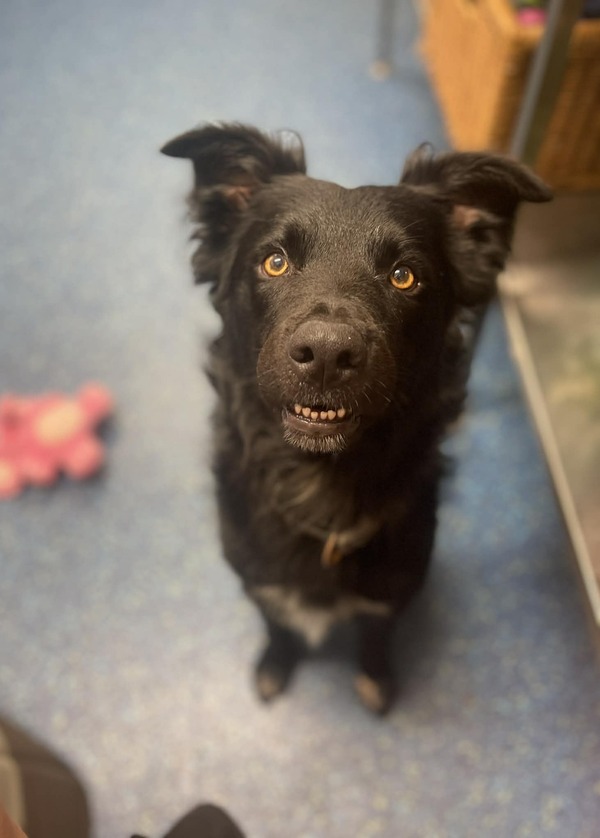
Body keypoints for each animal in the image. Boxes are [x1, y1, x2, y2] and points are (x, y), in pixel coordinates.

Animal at [161, 124, 550, 712]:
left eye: (404, 276)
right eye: (275, 261)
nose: (326, 354)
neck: (322, 483)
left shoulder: (392, 594)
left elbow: (374, 638)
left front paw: (375, 679)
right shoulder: (259, 583)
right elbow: (279, 626)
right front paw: (274, 666)